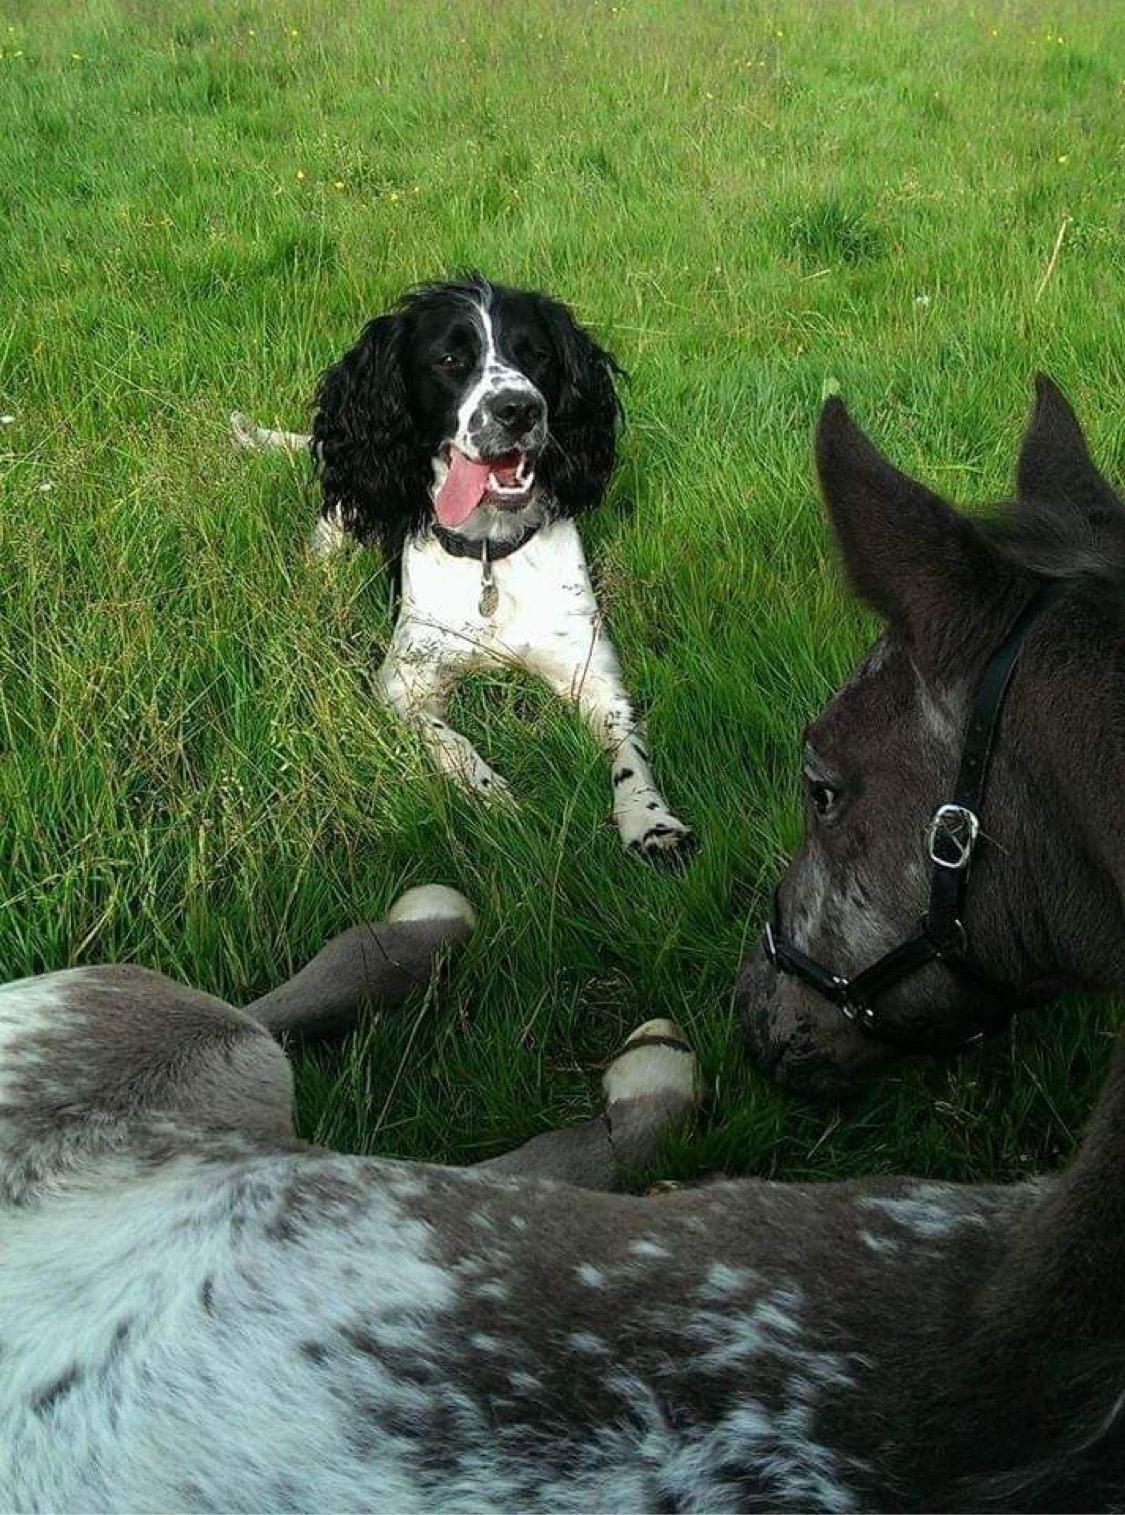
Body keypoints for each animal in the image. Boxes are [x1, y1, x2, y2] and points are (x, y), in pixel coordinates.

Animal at [234, 277, 696, 860]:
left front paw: (650, 820)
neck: (488, 555)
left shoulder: (589, 667)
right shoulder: (405, 680)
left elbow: (629, 748)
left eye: (537, 355)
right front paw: (495, 799)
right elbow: (449, 741)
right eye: (450, 360)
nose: (519, 409)